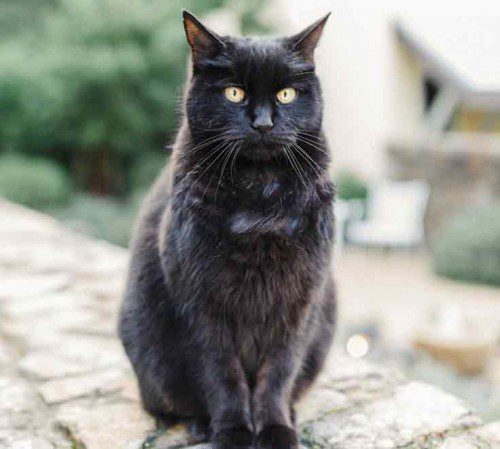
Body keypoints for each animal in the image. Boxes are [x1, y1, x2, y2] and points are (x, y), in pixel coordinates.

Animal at [118, 10, 336, 448]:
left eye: (286, 94)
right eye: (234, 93)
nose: (263, 123)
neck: (259, 193)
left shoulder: (299, 305)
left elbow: (277, 375)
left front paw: (275, 429)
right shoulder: (201, 305)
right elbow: (222, 376)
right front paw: (233, 431)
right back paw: (202, 424)